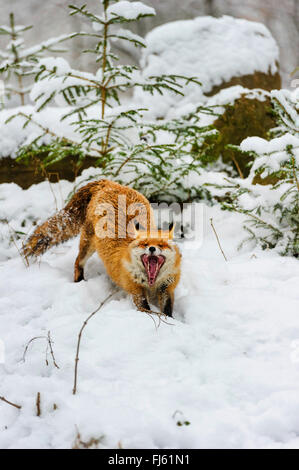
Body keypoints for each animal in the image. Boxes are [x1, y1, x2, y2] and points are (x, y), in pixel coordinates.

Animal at [22, 178, 180, 318]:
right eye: (144, 244)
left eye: (162, 245)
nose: (152, 248)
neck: (151, 282)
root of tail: (108, 182)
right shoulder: (135, 289)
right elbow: (146, 309)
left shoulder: (167, 288)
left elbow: (168, 310)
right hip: (88, 244)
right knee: (78, 262)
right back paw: (79, 282)